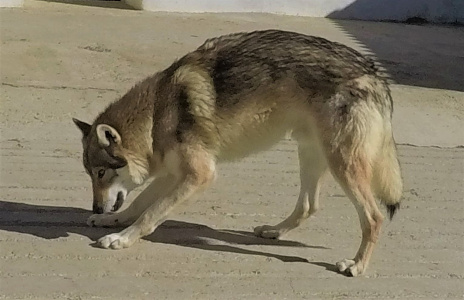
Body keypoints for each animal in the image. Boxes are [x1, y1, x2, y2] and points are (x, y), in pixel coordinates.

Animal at [73, 30, 402, 276]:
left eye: (101, 173)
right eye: (90, 175)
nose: (96, 209)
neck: (156, 113)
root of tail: (376, 75)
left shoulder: (199, 175)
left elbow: (151, 214)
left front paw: (122, 239)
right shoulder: (172, 174)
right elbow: (138, 204)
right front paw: (112, 222)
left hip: (342, 166)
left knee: (374, 217)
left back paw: (356, 265)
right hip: (310, 154)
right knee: (309, 207)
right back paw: (273, 231)